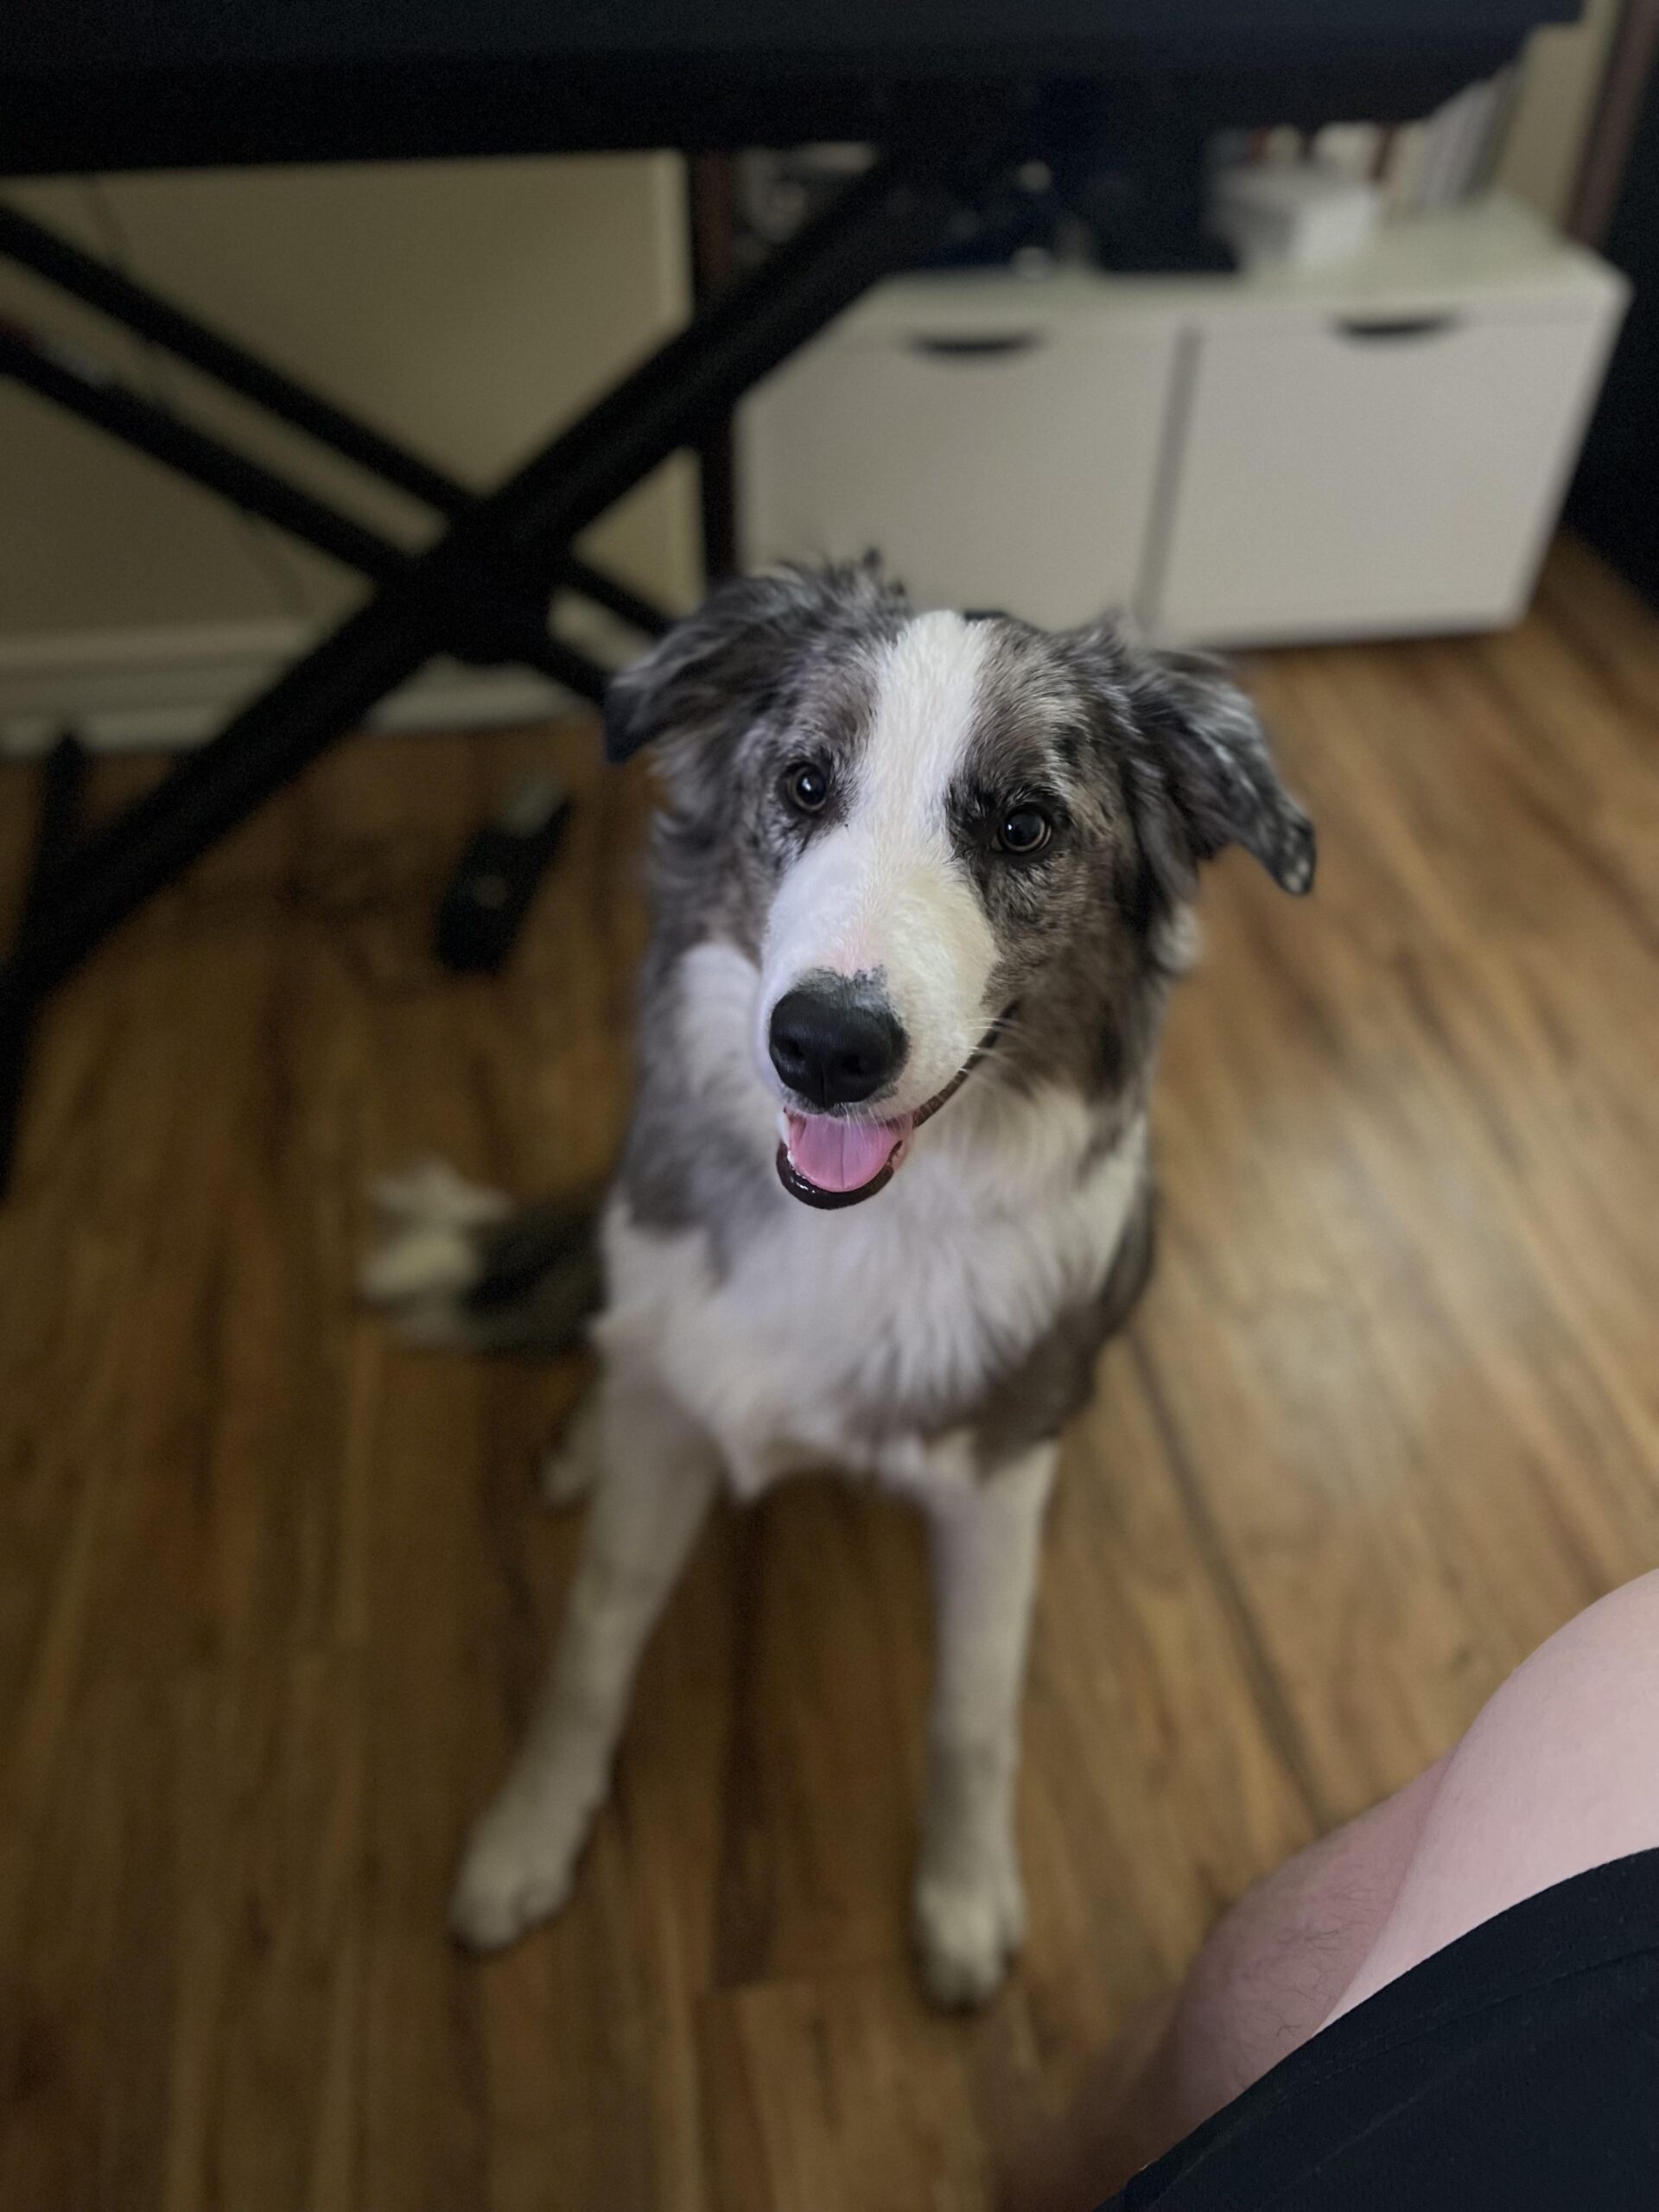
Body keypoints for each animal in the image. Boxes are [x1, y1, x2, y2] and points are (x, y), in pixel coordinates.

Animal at [362, 562, 1309, 2017]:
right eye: (805, 786)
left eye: (1025, 825)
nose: (825, 1046)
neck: (866, 1226)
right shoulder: (672, 1414)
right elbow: (592, 1639)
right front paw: (527, 1833)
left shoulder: (994, 1476)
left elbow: (973, 1708)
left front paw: (965, 1897)